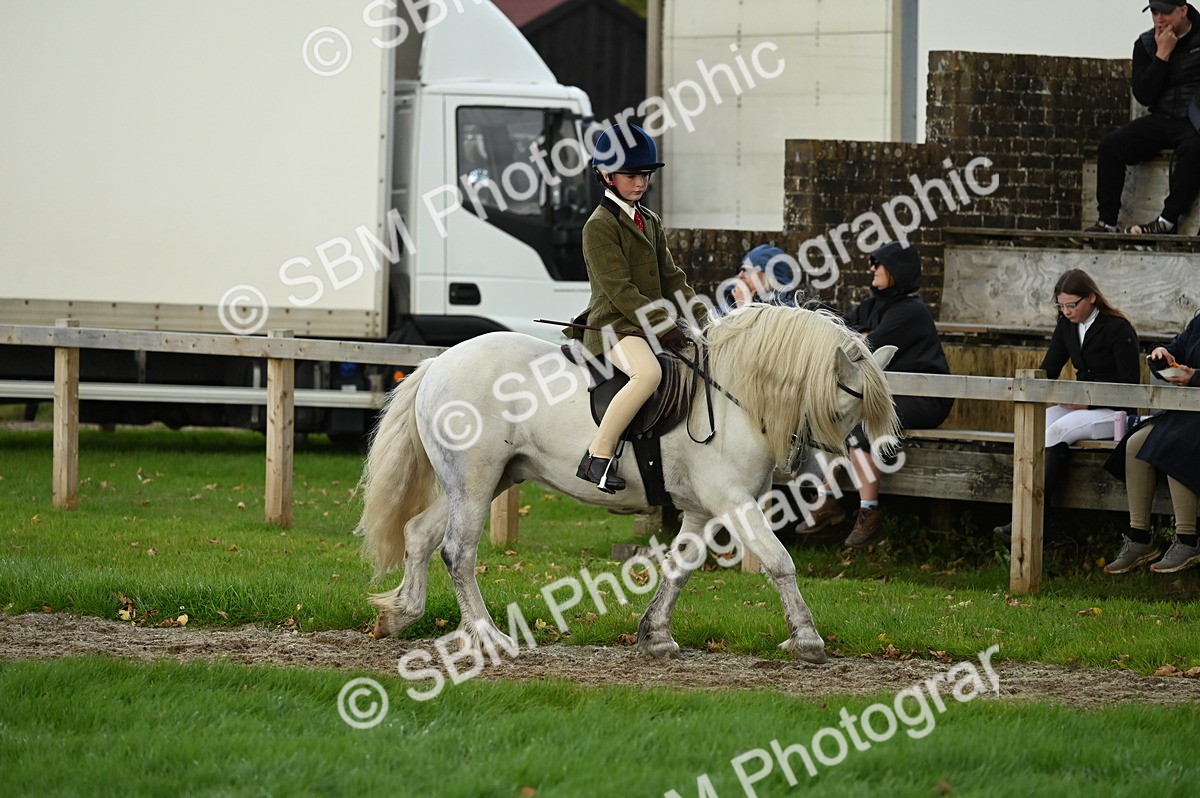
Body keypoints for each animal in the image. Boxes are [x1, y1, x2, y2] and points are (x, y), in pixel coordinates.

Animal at [356, 303, 899, 664]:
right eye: (854, 393)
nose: (884, 453)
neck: (735, 399)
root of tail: (438, 363)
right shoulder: (733, 502)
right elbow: (779, 561)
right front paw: (807, 639)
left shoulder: (701, 509)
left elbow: (680, 569)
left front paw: (656, 636)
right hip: (474, 479)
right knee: (458, 552)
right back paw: (489, 638)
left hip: (487, 480)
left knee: (420, 534)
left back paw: (401, 614)